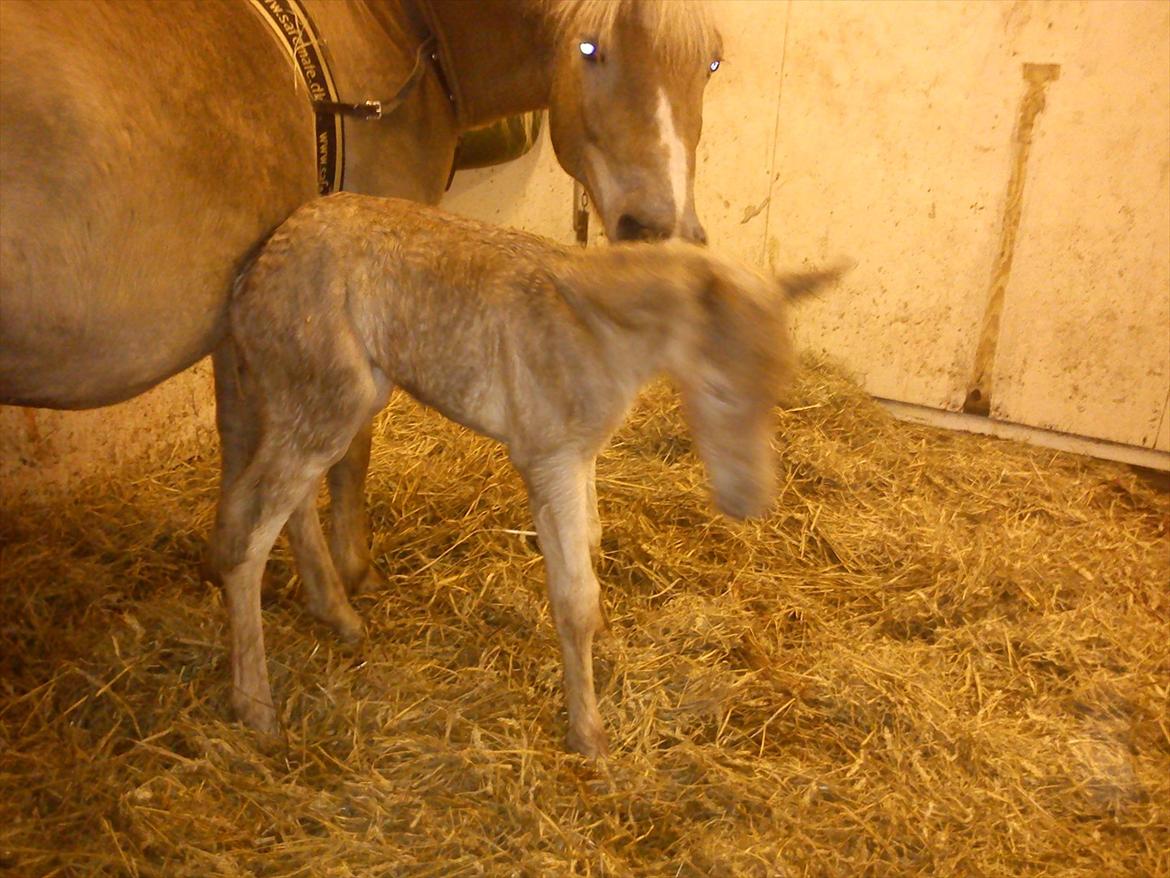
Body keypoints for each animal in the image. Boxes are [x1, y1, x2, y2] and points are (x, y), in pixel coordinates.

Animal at [0, 0, 720, 599]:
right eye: (590, 48)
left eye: (712, 61)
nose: (660, 229)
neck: (402, 26)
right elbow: (351, 450)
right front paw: (352, 574)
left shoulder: (240, 321)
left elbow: (241, 439)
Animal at [215, 191, 842, 758]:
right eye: (717, 389)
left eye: (780, 384)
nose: (750, 502)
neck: (597, 333)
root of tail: (255, 268)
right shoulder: (549, 456)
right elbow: (572, 596)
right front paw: (588, 734)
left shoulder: (582, 452)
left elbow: (592, 542)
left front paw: (605, 638)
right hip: (333, 397)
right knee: (246, 532)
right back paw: (256, 707)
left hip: (318, 400)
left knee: (289, 500)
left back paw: (337, 616)